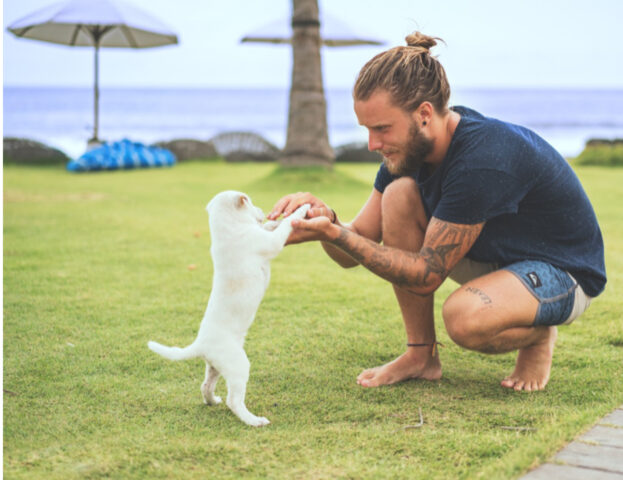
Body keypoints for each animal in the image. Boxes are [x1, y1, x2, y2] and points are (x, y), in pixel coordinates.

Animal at [149, 189, 310, 426]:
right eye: (251, 202)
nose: (263, 211)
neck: (228, 229)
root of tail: (200, 344)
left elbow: (270, 227)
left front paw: (275, 220)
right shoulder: (270, 243)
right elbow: (285, 227)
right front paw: (300, 211)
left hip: (215, 366)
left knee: (205, 386)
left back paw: (212, 401)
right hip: (238, 366)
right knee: (233, 401)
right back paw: (254, 420)